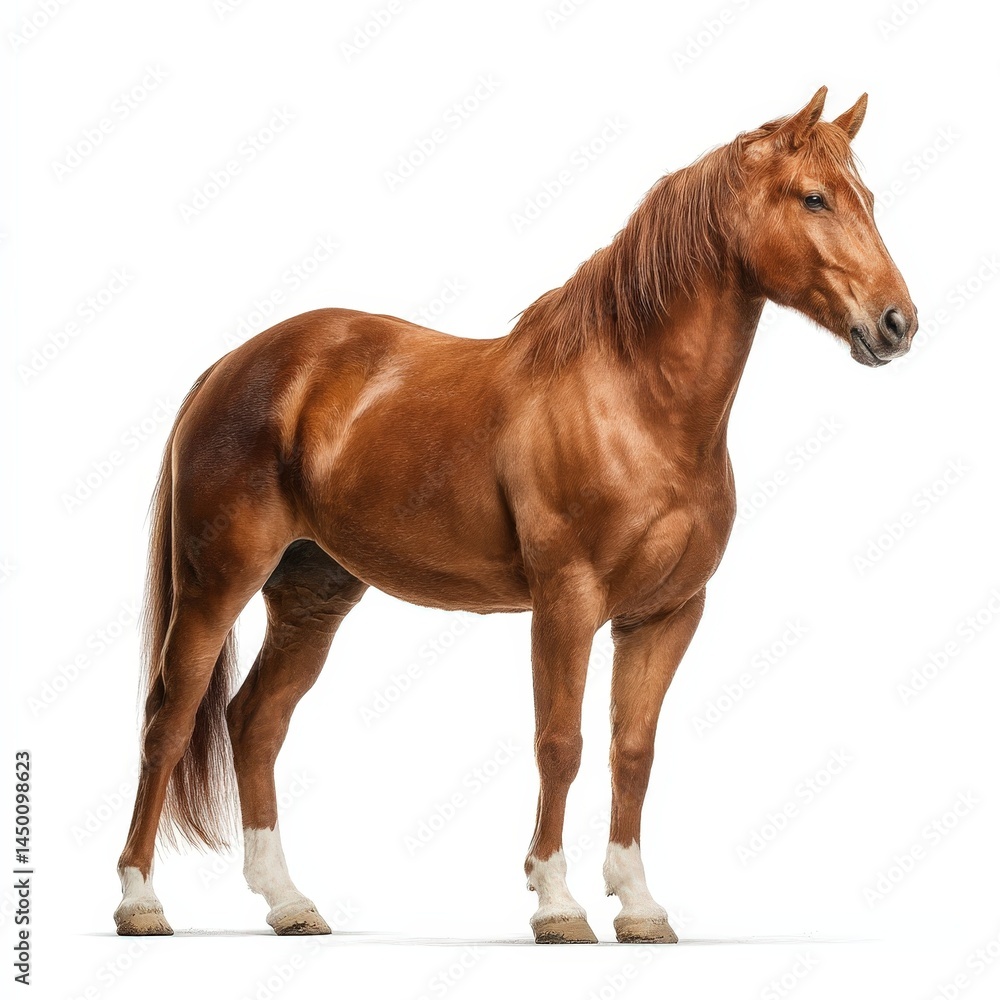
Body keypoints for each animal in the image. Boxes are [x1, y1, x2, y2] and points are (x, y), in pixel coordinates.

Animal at [114, 86, 916, 944]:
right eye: (814, 198)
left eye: (867, 198)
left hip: (312, 594)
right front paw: (557, 904)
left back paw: (289, 902)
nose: (897, 324)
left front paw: (639, 906)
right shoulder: (566, 602)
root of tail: (232, 365)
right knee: (170, 718)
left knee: (256, 721)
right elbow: (560, 743)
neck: (633, 400)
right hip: (216, 581)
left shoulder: (666, 614)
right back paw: (140, 900)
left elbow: (633, 752)